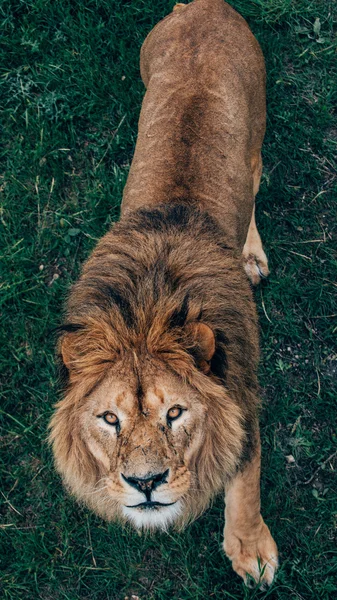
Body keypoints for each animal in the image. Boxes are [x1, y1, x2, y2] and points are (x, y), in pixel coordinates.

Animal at [48, 0, 276, 588]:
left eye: (175, 413)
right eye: (110, 420)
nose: (145, 483)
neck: (144, 311)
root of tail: (204, 6)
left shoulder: (243, 395)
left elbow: (246, 483)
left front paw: (251, 548)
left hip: (256, 137)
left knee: (254, 189)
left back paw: (251, 256)